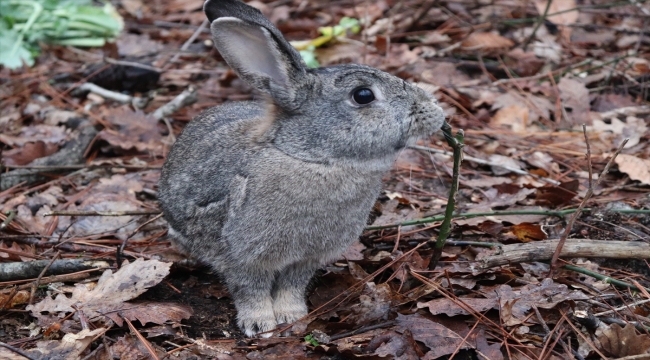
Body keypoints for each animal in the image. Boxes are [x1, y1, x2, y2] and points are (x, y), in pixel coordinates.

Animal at [159, 0, 442, 338]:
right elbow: (250, 289)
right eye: (363, 95)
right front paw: (260, 324)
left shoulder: (306, 259)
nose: (436, 111)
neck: (312, 158)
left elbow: (292, 285)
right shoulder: (242, 256)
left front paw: (292, 315)